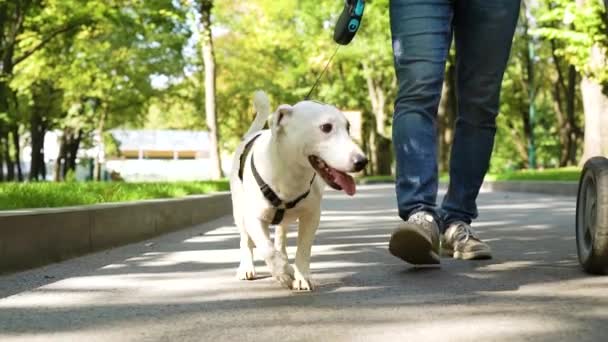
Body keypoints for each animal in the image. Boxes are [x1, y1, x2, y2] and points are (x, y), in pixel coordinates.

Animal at [230, 91, 366, 292]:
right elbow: (266, 248)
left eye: (348, 127)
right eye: (326, 127)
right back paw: (247, 267)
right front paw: (282, 272)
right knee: (246, 240)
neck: (291, 174)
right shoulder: (253, 218)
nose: (362, 161)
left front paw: (301, 277)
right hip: (239, 211)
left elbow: (303, 248)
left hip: (284, 221)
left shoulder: (312, 215)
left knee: (280, 235)